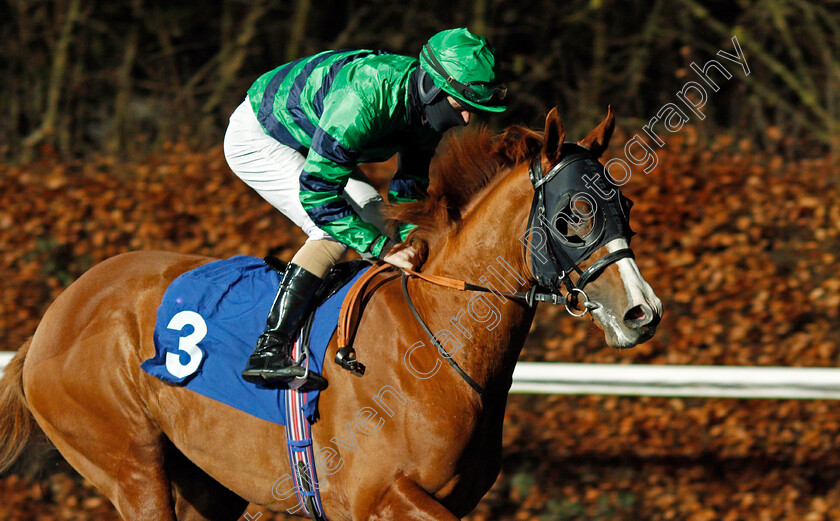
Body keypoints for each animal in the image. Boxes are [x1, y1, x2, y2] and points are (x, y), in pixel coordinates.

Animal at [1, 107, 664, 516]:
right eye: (573, 213)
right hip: (129, 464)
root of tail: (51, 319)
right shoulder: (377, 496)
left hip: (204, 483)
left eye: (626, 203)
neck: (436, 338)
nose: (641, 311)